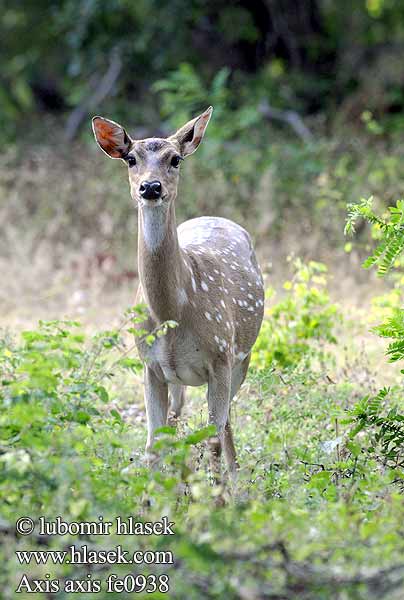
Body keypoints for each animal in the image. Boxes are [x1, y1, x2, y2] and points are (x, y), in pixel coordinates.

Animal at [91, 108, 266, 480]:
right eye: (131, 158)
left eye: (175, 159)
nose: (150, 186)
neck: (173, 310)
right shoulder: (151, 365)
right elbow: (152, 445)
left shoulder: (221, 359)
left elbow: (212, 439)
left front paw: (217, 495)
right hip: (180, 378)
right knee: (179, 420)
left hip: (243, 356)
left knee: (225, 425)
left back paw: (237, 480)